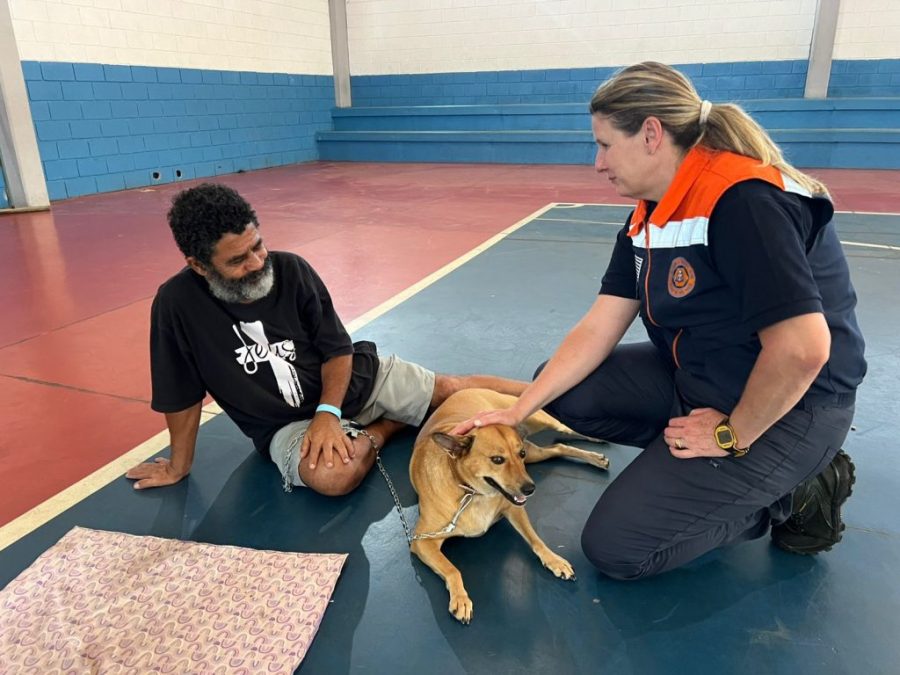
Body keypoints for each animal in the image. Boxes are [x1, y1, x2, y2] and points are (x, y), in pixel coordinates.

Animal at [410, 388, 608, 624]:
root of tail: (467, 388)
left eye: (519, 454)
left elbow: (536, 540)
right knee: (558, 447)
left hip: (537, 429)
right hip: (536, 455)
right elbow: (452, 570)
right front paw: (460, 598)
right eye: (497, 459)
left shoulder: (515, 508)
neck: (473, 493)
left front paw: (554, 560)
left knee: (567, 429)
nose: (530, 488)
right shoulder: (422, 541)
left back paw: (598, 442)